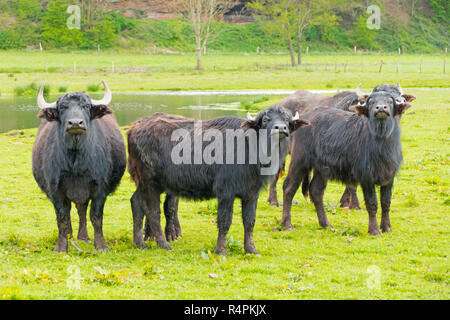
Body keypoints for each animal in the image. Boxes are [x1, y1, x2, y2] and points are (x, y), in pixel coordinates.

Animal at [31, 82, 126, 252]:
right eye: (63, 107)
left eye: (86, 106)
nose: (75, 123)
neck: (76, 162)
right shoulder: (55, 190)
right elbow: (62, 217)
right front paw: (61, 247)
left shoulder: (100, 188)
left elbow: (96, 217)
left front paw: (101, 246)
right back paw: (70, 236)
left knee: (82, 210)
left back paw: (83, 237)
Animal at [127, 107, 310, 255]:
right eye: (266, 120)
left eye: (287, 120)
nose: (281, 128)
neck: (249, 147)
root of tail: (133, 128)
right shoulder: (226, 193)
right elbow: (224, 221)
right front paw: (221, 250)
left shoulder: (251, 193)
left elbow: (249, 222)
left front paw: (251, 249)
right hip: (149, 182)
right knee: (153, 212)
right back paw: (164, 245)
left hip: (144, 184)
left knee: (136, 203)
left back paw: (139, 243)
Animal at [284, 91, 414, 234]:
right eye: (371, 102)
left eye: (390, 101)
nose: (381, 108)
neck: (382, 143)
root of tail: (303, 119)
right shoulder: (366, 178)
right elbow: (372, 203)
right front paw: (374, 230)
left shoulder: (389, 177)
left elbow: (386, 203)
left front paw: (386, 228)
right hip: (299, 160)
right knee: (289, 187)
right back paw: (287, 224)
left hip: (322, 169)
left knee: (316, 191)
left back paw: (326, 224)